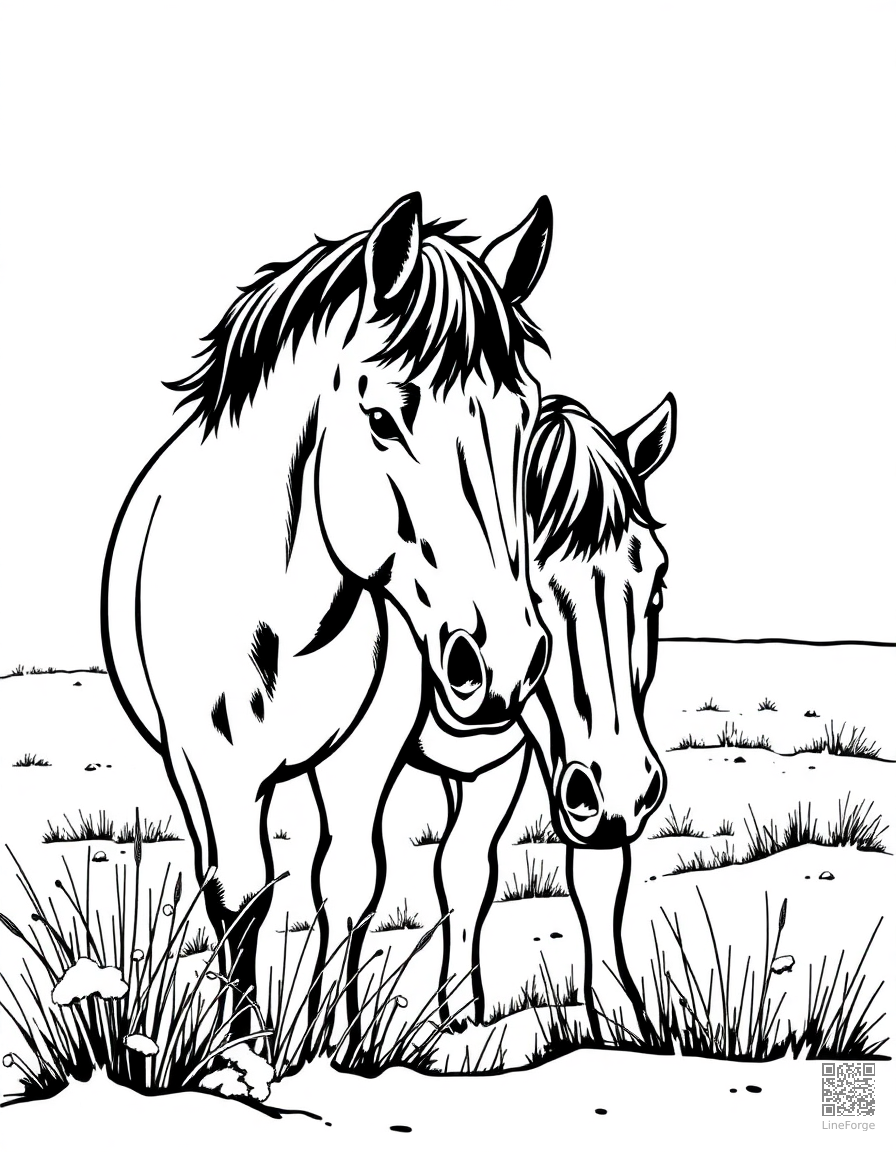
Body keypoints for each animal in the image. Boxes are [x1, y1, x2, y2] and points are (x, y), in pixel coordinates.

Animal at [100, 193, 555, 1045]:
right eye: (382, 418)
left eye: (521, 420)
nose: (503, 661)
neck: (292, 624)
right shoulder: (208, 765)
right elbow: (240, 895)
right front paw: (245, 1046)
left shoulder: (363, 756)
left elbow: (348, 885)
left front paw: (334, 1042)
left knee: (461, 869)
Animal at [406, 392, 676, 1036]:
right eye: (525, 586)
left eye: (657, 584)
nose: (624, 787)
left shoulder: (503, 764)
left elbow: (475, 871)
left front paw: (622, 1023)